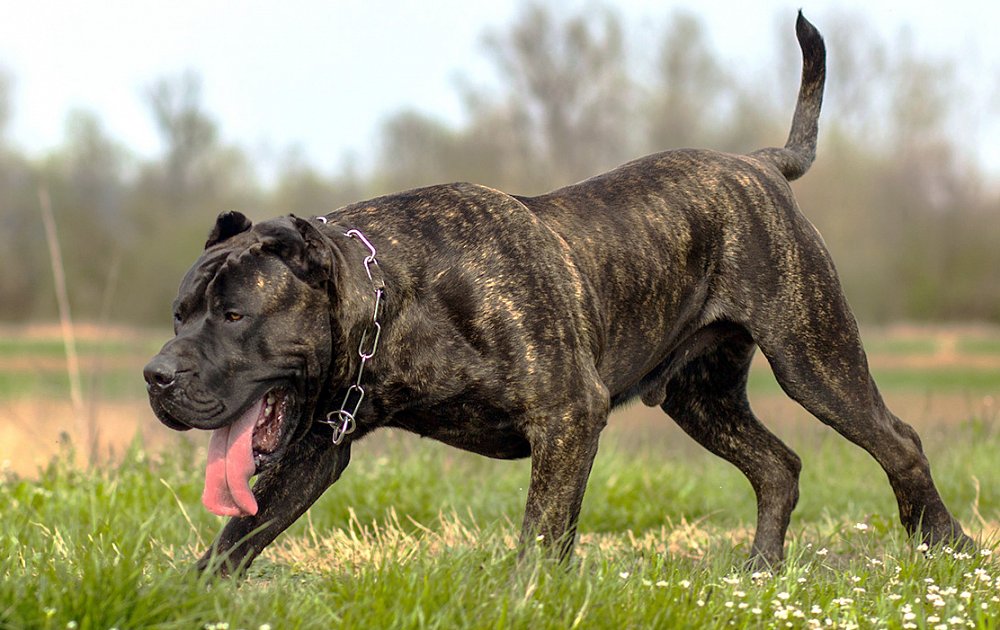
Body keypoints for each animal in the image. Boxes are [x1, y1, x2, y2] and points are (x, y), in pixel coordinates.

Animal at [141, 14, 968, 576]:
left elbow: (540, 535)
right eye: (179, 314)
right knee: (778, 466)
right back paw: (760, 572)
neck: (395, 296)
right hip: (700, 394)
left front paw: (528, 594)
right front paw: (188, 598)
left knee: (897, 441)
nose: (156, 375)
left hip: (814, 358)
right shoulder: (315, 448)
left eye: (236, 314)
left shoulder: (568, 415)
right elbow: (233, 541)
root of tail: (760, 163)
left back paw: (945, 545)